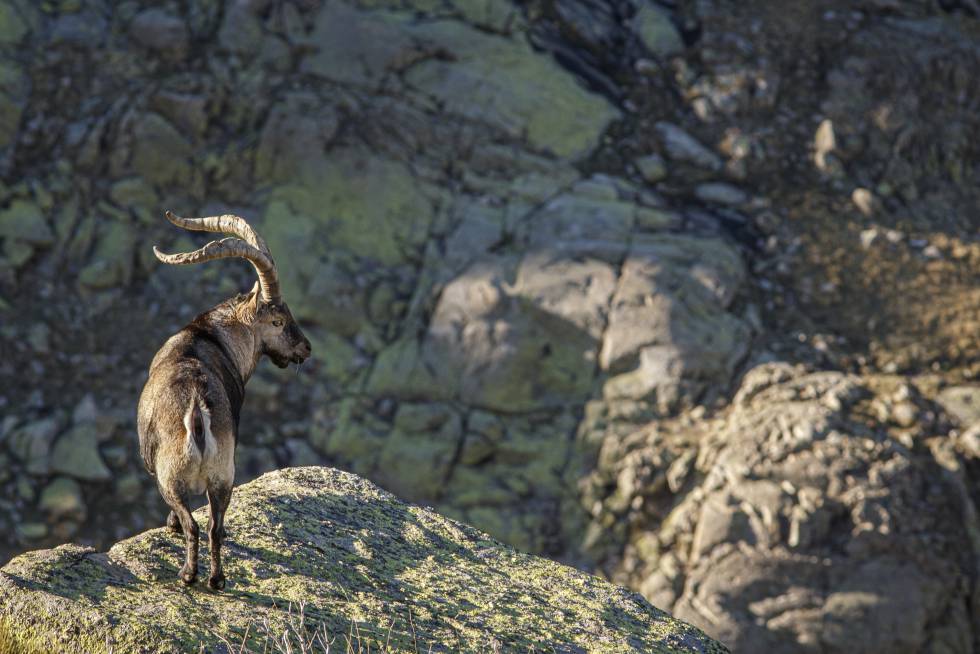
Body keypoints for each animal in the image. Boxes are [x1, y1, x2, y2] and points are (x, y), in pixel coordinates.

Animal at [137, 211, 311, 590]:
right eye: (278, 319)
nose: (305, 348)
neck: (209, 335)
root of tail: (196, 410)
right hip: (223, 475)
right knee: (215, 527)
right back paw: (216, 579)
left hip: (171, 475)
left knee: (193, 524)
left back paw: (189, 574)